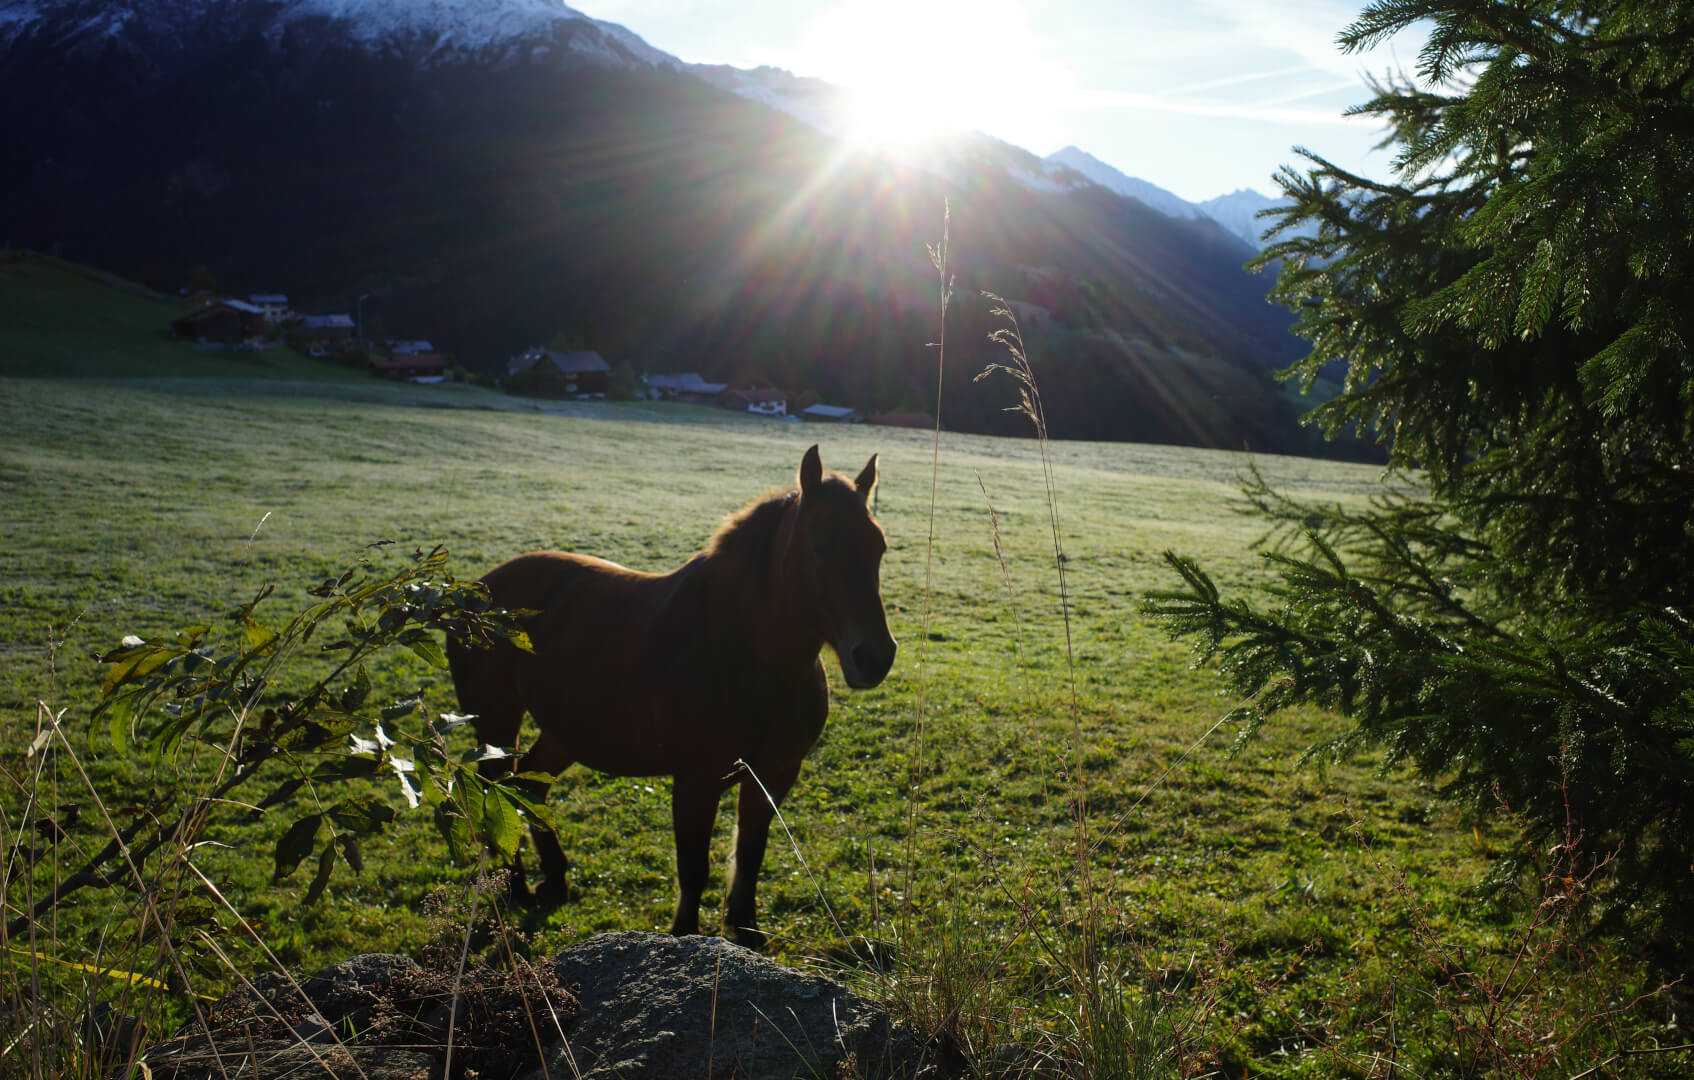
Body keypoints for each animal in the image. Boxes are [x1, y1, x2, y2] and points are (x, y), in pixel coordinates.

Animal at [450, 446, 901, 947]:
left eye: (878, 546)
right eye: (818, 546)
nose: (874, 657)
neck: (744, 652)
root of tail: (473, 593)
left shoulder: (775, 773)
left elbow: (750, 852)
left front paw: (745, 929)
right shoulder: (696, 782)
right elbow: (694, 868)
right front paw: (686, 936)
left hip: (566, 729)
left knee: (529, 785)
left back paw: (554, 880)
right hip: (496, 721)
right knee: (498, 790)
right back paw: (518, 887)